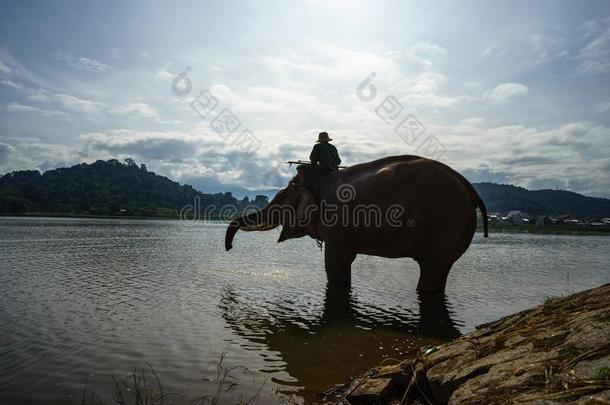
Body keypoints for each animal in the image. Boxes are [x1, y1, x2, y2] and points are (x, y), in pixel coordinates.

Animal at [226, 153, 486, 292]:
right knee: (442, 272)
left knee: (431, 269)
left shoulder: (336, 225)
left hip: (442, 223)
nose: (228, 248)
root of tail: (467, 186)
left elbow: (335, 265)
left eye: (280, 199)